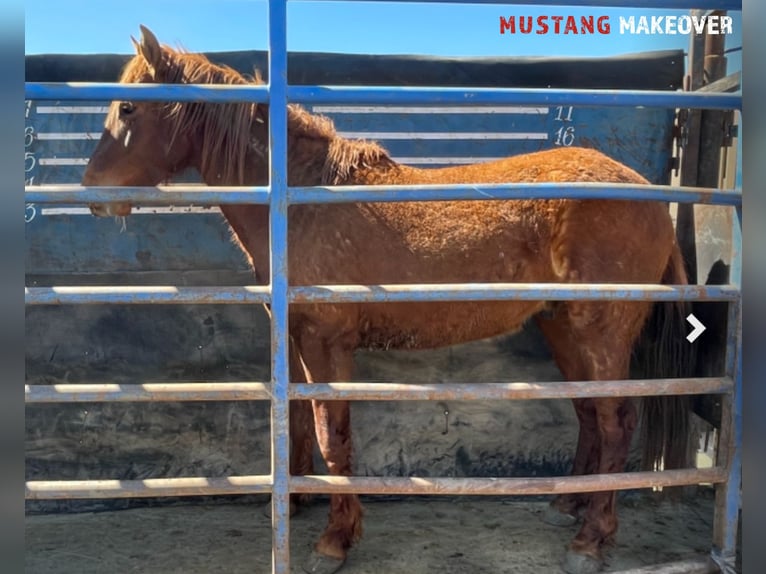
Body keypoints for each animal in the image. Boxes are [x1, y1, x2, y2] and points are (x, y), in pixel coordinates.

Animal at [82, 25, 696, 574]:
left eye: (128, 109)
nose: (92, 194)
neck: (296, 203)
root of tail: (647, 191)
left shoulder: (327, 342)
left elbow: (333, 435)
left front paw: (335, 540)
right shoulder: (297, 340)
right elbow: (297, 421)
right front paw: (296, 502)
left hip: (600, 331)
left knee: (617, 421)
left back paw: (591, 539)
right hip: (561, 327)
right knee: (590, 413)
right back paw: (570, 504)